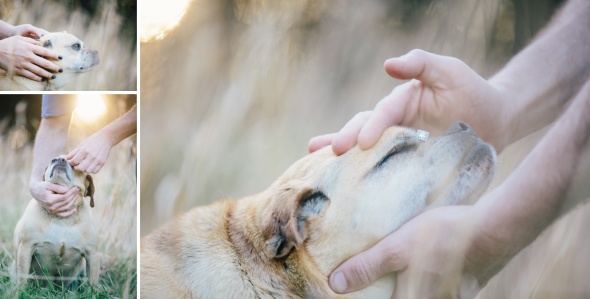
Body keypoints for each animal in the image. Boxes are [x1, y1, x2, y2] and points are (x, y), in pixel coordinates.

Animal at [12, 156, 100, 288]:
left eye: (75, 164)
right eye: (52, 161)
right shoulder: (26, 248)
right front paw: (20, 291)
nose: (59, 159)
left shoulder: (92, 255)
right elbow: (22, 278)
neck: (62, 218)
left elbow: (93, 282)